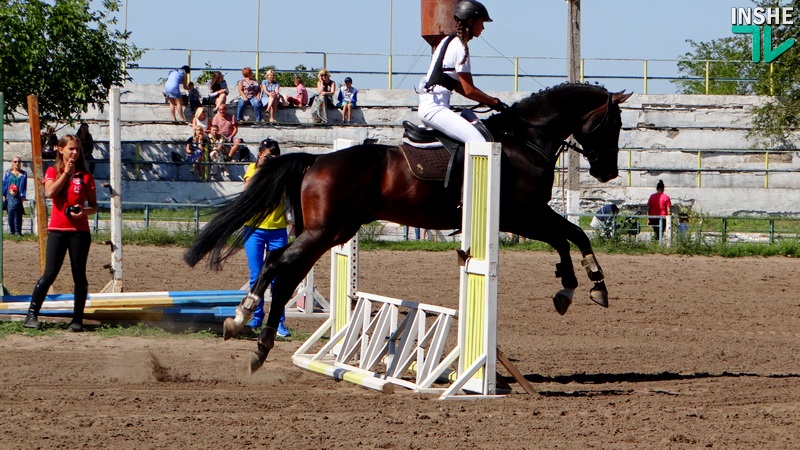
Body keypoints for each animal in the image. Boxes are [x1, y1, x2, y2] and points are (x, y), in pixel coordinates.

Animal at [186, 82, 632, 370]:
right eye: (613, 124)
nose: (608, 173)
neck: (525, 139)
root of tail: (316, 159)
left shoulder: (526, 216)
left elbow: (571, 235)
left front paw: (579, 287)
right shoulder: (522, 215)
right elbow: (568, 235)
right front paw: (582, 286)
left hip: (330, 234)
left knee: (288, 276)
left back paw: (259, 345)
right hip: (324, 233)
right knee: (276, 262)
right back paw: (241, 315)